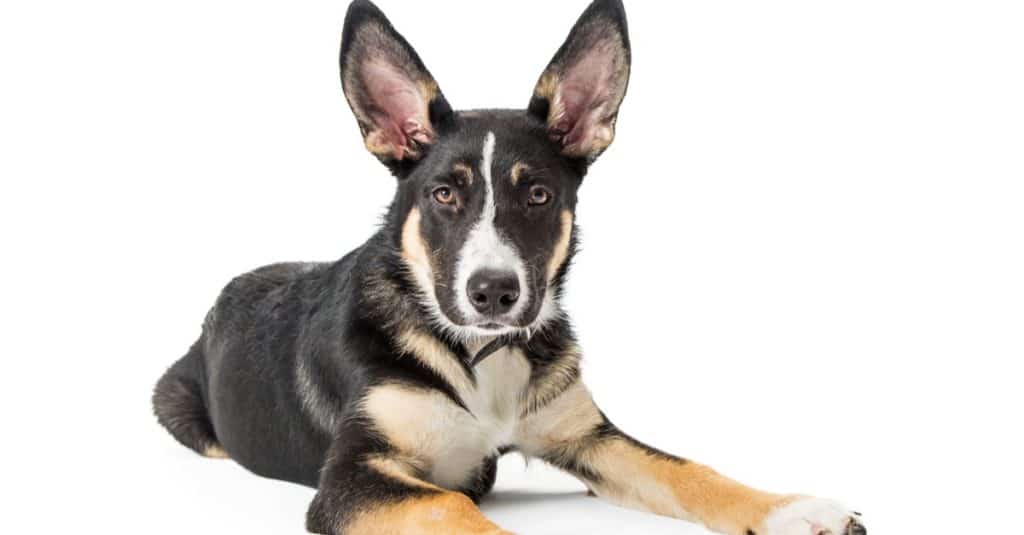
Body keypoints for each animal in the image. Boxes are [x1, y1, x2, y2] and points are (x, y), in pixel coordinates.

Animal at [155, 2, 868, 528]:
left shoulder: (587, 436)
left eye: (539, 195)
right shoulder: (354, 475)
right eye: (444, 194)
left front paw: (791, 510)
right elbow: (448, 505)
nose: (493, 293)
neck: (477, 355)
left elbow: (684, 468)